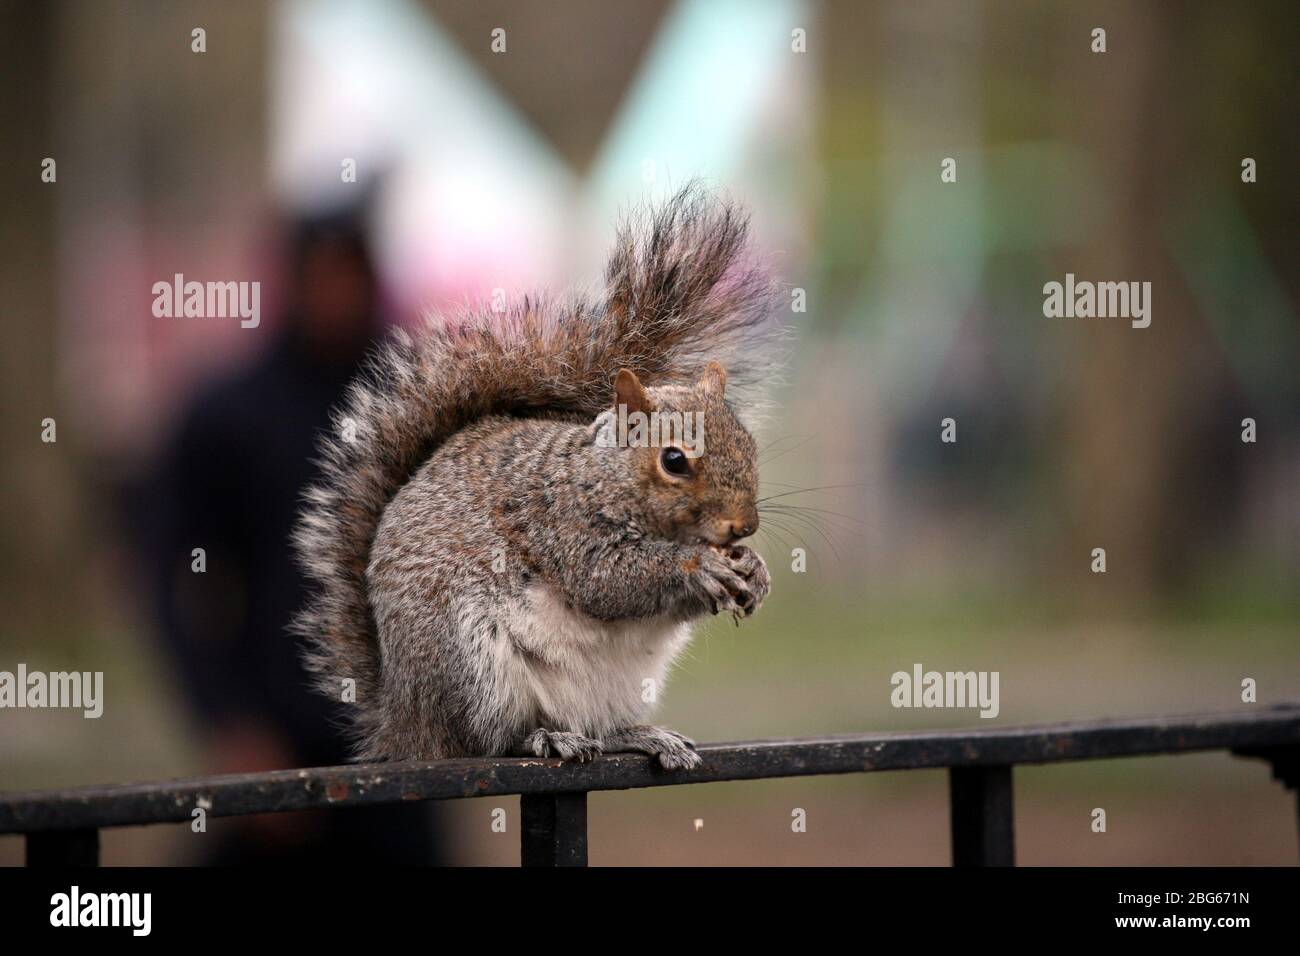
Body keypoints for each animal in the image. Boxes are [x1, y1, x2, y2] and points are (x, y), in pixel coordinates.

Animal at [292, 187, 780, 770]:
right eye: (674, 461)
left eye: (749, 443)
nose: (744, 527)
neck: (604, 478)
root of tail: (406, 723)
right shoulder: (562, 522)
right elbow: (607, 581)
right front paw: (698, 567)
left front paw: (754, 571)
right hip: (472, 664)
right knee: (488, 740)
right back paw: (545, 739)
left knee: (598, 728)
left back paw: (639, 734)